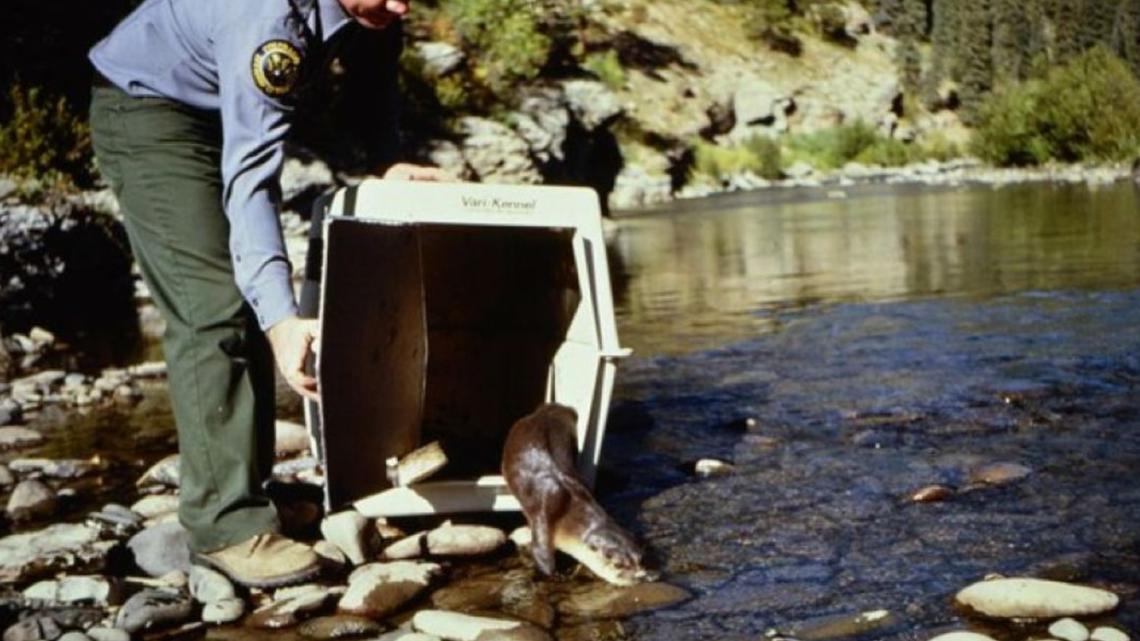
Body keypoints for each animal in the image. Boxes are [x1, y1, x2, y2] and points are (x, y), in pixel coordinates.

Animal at [502, 403, 651, 585]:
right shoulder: (545, 512)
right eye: (618, 564)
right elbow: (540, 552)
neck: (570, 508)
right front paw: (557, 575)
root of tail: (550, 409)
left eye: (640, 560)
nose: (640, 577)